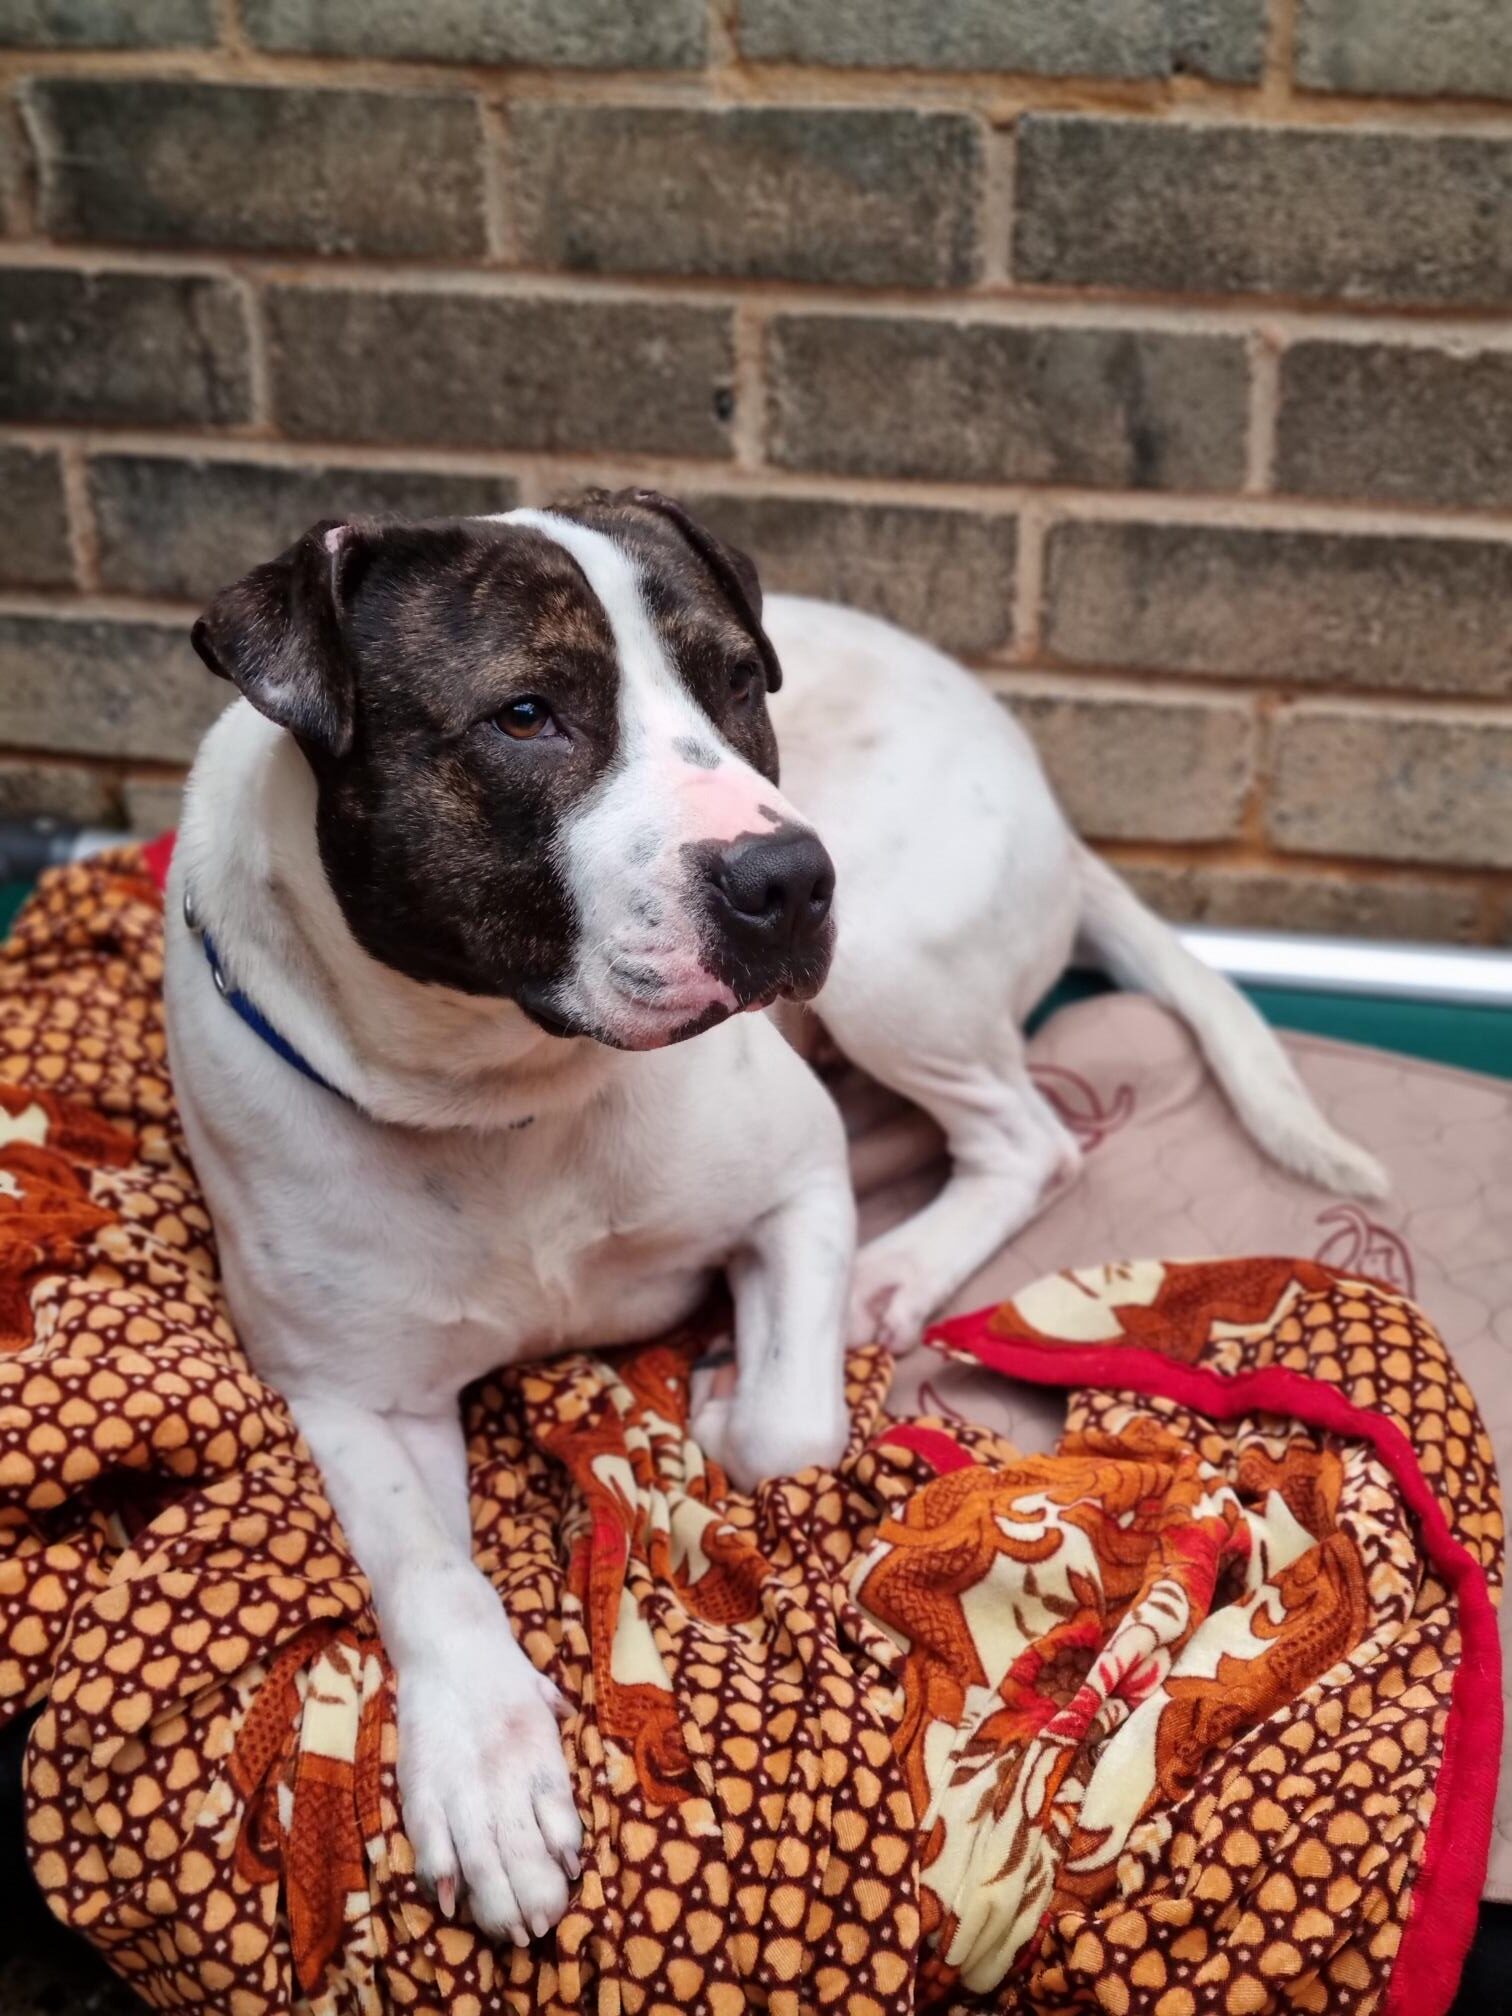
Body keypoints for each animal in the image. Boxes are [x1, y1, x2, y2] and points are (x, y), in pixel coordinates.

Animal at [165, 489, 1384, 1944]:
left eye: (738, 680)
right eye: (525, 714)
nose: (789, 875)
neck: (509, 1091)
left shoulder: (797, 1184)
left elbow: (790, 1425)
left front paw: (723, 1401)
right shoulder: (347, 1390)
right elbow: (426, 1569)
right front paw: (488, 1771)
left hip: (895, 961)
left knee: (1026, 1138)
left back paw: (890, 1274)